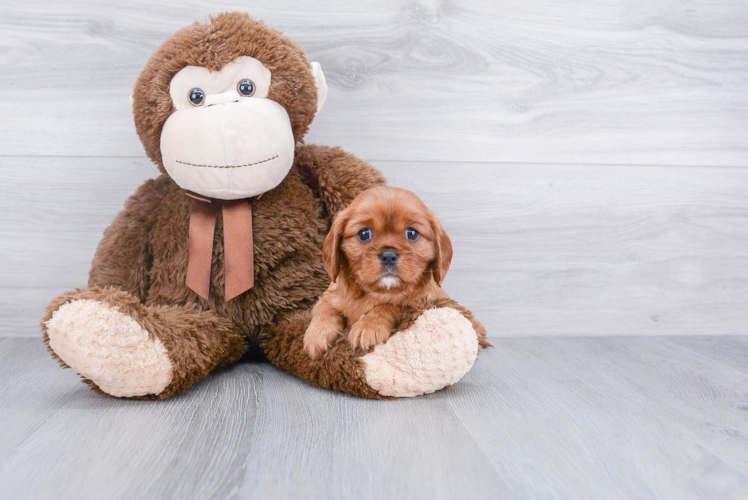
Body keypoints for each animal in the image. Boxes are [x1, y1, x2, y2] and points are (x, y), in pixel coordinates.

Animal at [304, 185, 490, 360]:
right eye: (364, 233)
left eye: (412, 233)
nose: (388, 256)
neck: (377, 293)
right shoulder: (327, 297)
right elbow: (325, 310)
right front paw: (317, 334)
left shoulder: (420, 303)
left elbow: (391, 306)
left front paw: (369, 325)